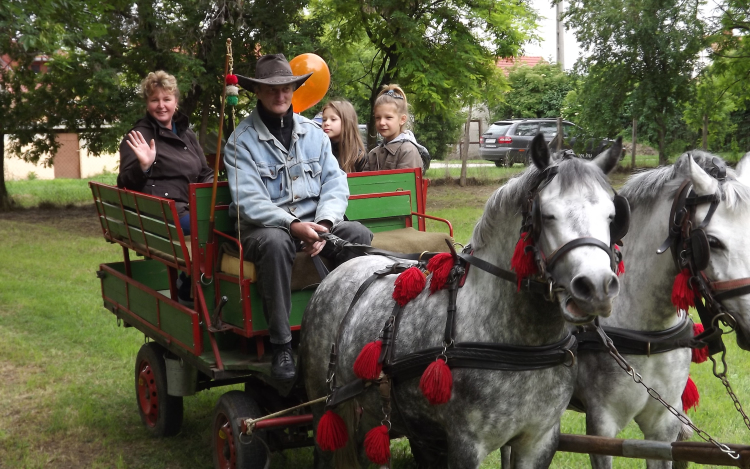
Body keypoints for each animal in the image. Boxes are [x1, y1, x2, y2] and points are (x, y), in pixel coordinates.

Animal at [302, 133, 624, 466]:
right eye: (547, 215)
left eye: (612, 216)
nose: (596, 287)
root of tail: (339, 269)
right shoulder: (466, 443)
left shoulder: (539, 440)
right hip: (323, 401)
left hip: (372, 409)